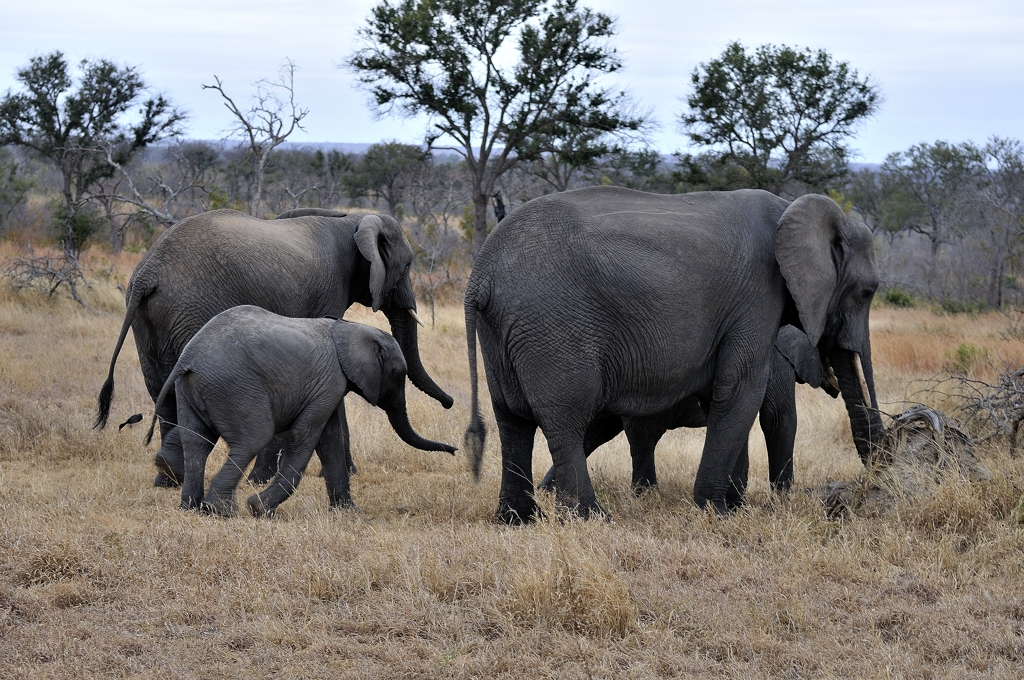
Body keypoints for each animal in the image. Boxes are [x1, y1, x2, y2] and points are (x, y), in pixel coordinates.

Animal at [96, 206, 452, 483]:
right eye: (408, 266)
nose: (449, 404)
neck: (353, 219)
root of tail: (147, 273)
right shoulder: (330, 289)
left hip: (150, 319)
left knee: (162, 388)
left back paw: (169, 478)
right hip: (190, 308)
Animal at [146, 303, 458, 516]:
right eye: (399, 375)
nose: (455, 450)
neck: (350, 328)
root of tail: (188, 358)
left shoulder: (330, 385)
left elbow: (330, 441)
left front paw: (349, 512)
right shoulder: (330, 381)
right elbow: (305, 437)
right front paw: (259, 508)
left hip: (192, 389)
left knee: (196, 442)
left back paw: (190, 507)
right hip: (235, 386)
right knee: (253, 438)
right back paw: (221, 510)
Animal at [536, 323, 839, 493]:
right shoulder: (774, 356)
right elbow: (779, 419)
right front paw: (780, 500)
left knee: (595, 433)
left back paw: (545, 492)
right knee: (641, 437)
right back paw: (645, 495)